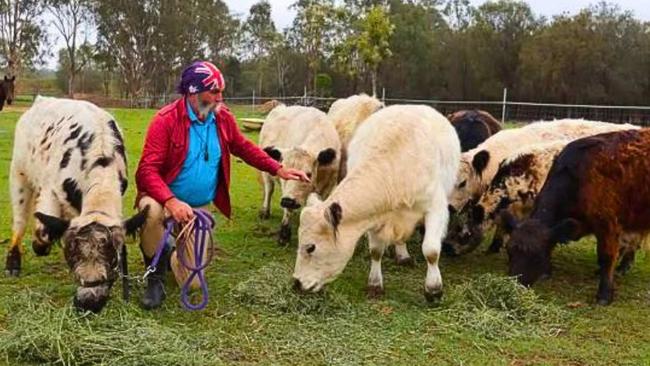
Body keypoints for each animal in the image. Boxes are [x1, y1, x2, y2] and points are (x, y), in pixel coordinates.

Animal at [6, 96, 148, 312]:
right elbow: (43, 233)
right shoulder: (50, 190)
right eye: (72, 256)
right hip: (19, 173)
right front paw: (40, 244)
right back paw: (13, 263)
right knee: (20, 220)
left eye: (113, 260)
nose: (89, 302)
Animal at [256, 104, 342, 244]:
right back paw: (265, 211)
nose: (287, 201)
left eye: (309, 174)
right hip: (266, 173)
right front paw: (284, 235)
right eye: (284, 171)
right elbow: (288, 211)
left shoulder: (328, 186)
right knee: (269, 189)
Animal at [504, 129, 650, 306]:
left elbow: (606, 256)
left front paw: (604, 294)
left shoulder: (607, 224)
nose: (514, 286)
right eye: (509, 251)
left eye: (537, 256)